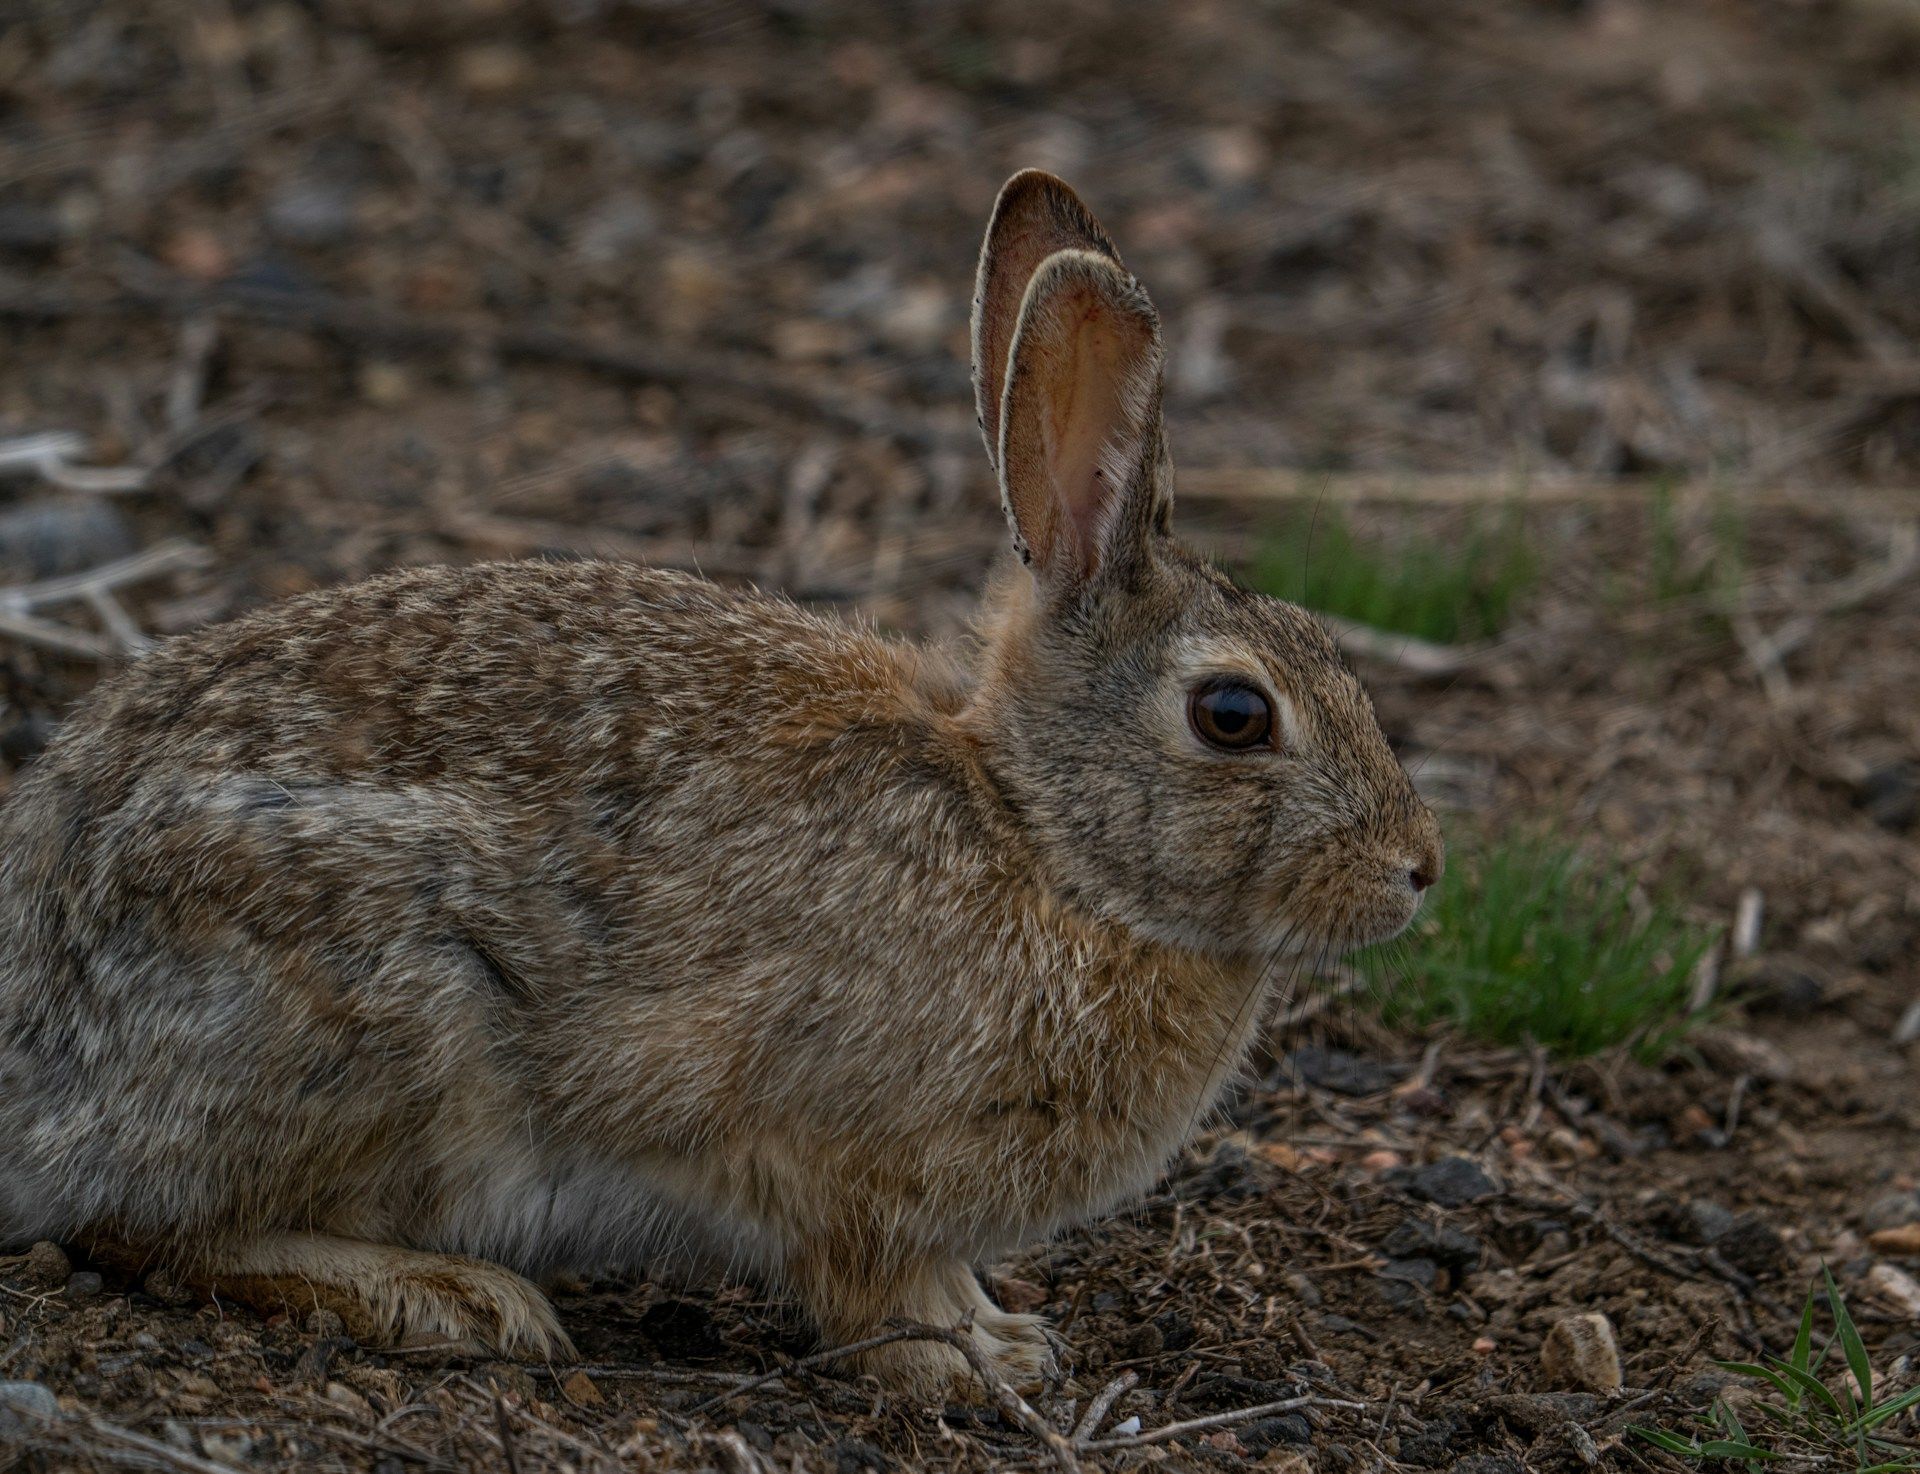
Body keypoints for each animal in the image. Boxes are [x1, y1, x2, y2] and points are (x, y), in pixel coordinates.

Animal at [0, 172, 1443, 1397]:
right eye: (1234, 716)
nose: (1419, 871)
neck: (1037, 831)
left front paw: (1007, 1336)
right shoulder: (835, 1163)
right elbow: (878, 1285)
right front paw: (969, 1366)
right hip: (392, 1018)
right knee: (151, 1228)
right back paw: (456, 1298)